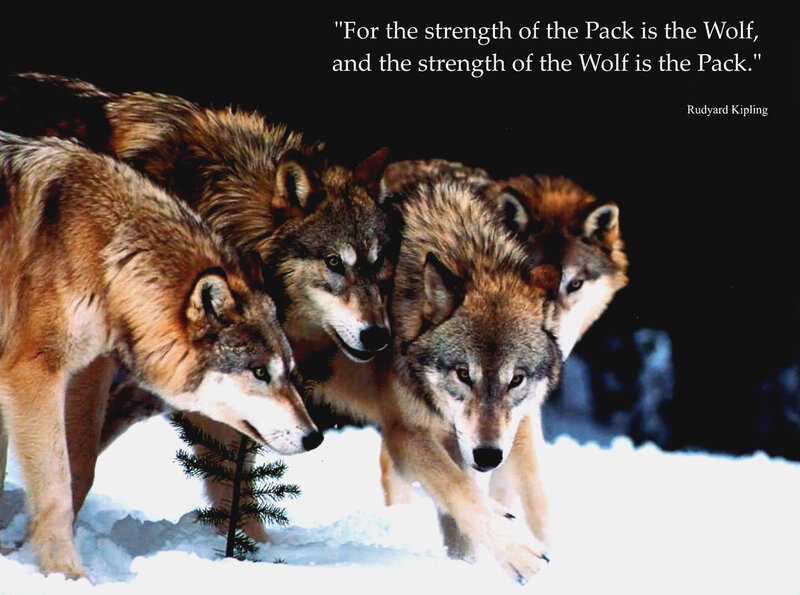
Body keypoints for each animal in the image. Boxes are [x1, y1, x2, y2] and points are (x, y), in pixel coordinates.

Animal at [0, 132, 320, 578]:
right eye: (259, 372)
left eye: (287, 371)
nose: (316, 437)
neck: (104, 252)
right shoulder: (33, 372)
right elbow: (57, 488)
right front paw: (69, 574)